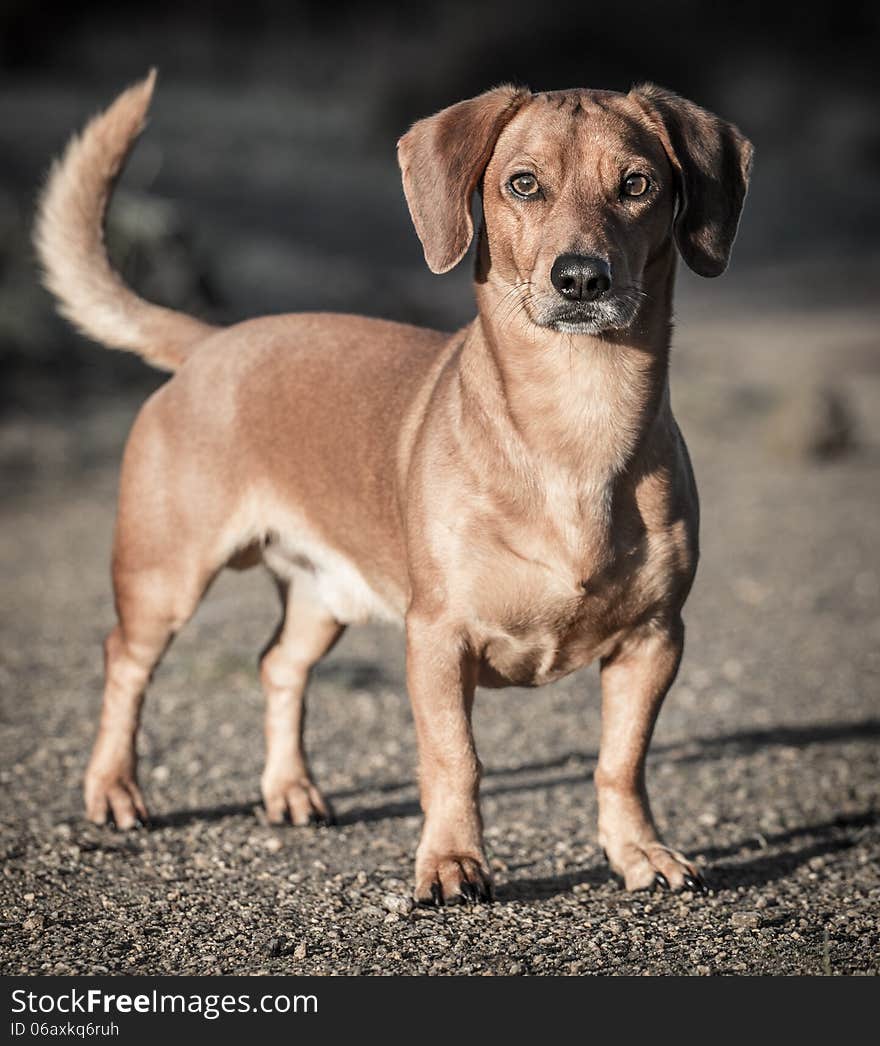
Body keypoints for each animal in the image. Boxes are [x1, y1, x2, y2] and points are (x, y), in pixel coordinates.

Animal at [34, 73, 749, 903]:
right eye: (523, 184)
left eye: (637, 185)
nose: (580, 278)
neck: (575, 422)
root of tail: (212, 343)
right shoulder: (437, 637)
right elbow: (454, 759)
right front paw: (451, 863)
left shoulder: (654, 640)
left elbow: (621, 761)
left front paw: (638, 851)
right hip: (164, 580)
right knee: (125, 663)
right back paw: (114, 788)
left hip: (324, 598)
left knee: (278, 665)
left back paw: (289, 789)